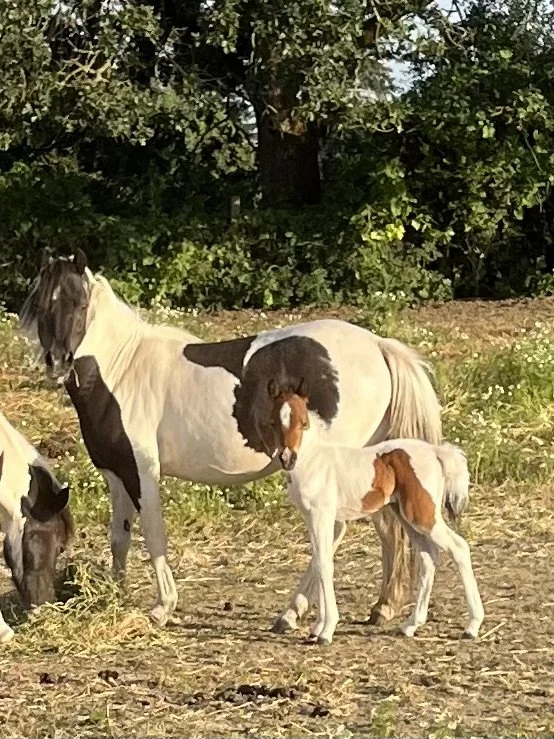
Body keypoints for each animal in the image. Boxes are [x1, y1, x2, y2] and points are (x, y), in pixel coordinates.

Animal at [20, 249, 442, 630]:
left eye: (80, 302)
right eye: (40, 303)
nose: (58, 362)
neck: (123, 369)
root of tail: (378, 346)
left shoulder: (143, 471)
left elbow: (153, 534)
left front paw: (162, 607)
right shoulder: (117, 473)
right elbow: (119, 537)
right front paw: (115, 596)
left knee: (336, 531)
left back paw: (292, 613)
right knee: (385, 526)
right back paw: (380, 607)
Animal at [269, 379, 484, 644]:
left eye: (303, 422)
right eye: (275, 421)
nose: (287, 457)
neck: (315, 460)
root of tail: (435, 452)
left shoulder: (323, 517)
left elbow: (324, 564)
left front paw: (326, 630)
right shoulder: (313, 519)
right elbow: (320, 562)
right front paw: (318, 627)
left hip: (423, 515)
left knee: (459, 547)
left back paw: (472, 625)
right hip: (406, 516)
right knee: (428, 557)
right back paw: (411, 625)